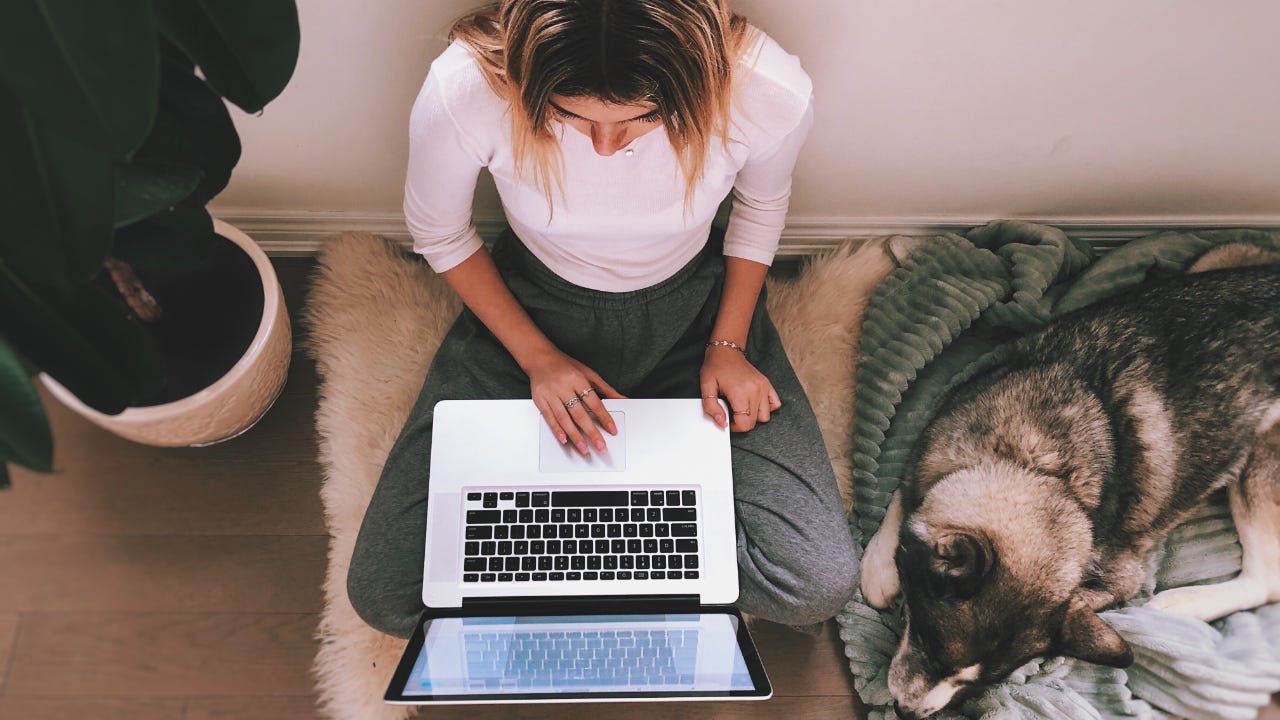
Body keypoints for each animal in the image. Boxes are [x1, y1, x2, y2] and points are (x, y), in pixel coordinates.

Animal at [855, 258, 1280, 717]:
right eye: (928, 643)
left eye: (980, 681)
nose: (906, 712)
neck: (1035, 468)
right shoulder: (933, 445)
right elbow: (905, 495)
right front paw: (879, 566)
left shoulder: (1119, 575)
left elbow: (1082, 599)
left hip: (1261, 455)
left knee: (1265, 579)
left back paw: (1183, 605)